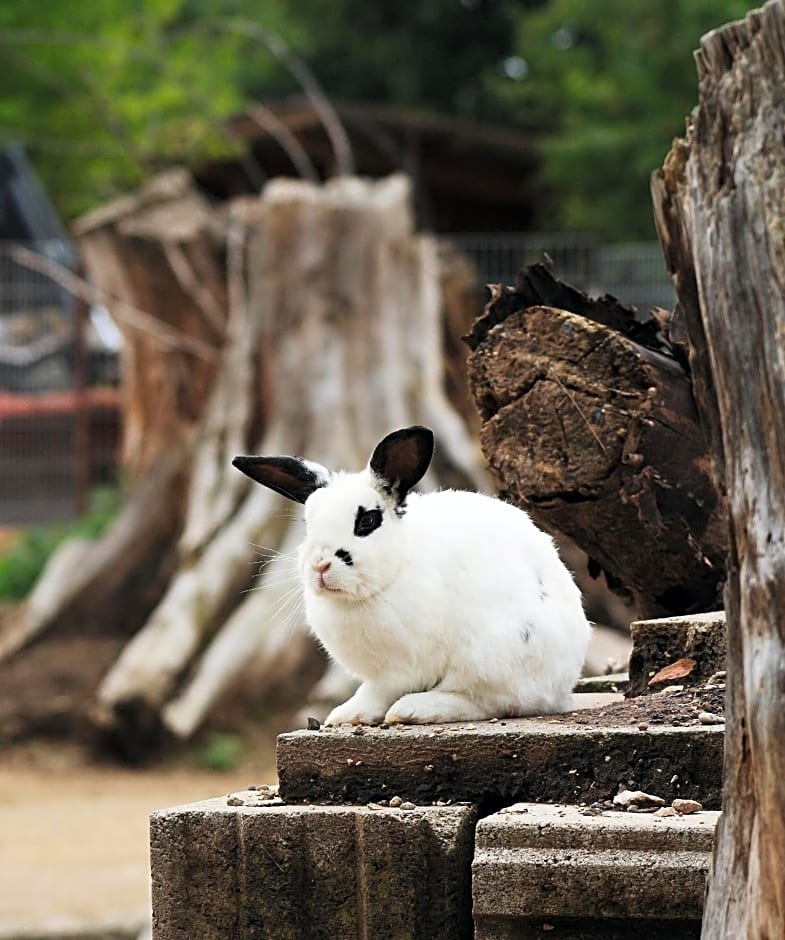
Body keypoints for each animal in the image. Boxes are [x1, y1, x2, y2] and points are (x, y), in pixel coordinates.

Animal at [233, 426, 588, 728]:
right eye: (308, 523)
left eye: (367, 521)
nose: (320, 565)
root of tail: (564, 684)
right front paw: (343, 716)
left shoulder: (401, 670)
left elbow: (377, 692)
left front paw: (350, 714)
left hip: (492, 656)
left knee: (488, 701)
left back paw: (413, 710)